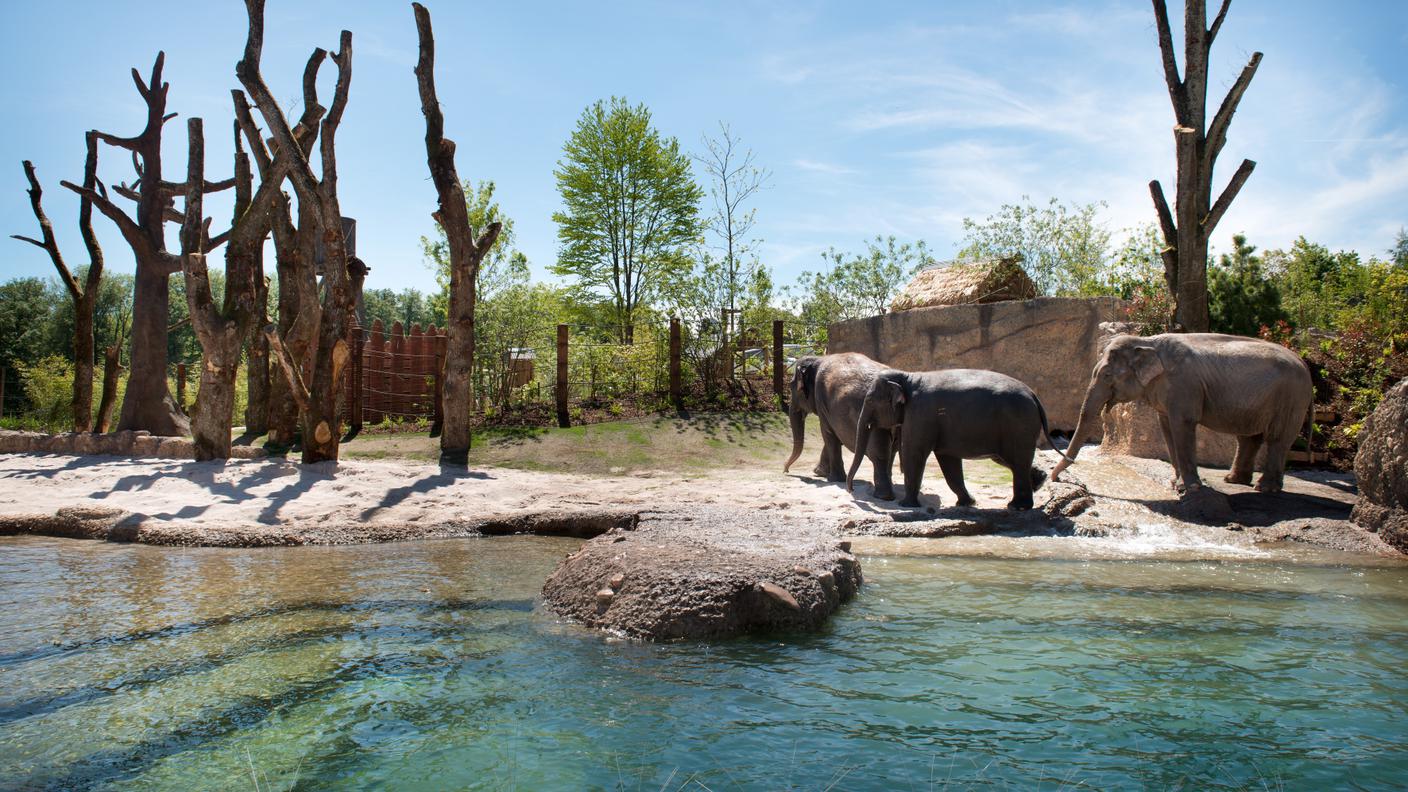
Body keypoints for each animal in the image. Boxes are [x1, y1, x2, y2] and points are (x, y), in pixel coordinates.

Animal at [782, 352, 901, 498]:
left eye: (792, 386)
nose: (785, 470)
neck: (818, 359)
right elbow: (832, 436)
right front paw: (819, 472)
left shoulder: (821, 401)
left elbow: (828, 434)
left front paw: (833, 478)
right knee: (892, 451)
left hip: (874, 418)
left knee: (879, 455)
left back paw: (882, 496)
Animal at [839, 366, 1058, 507]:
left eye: (869, 400)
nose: (850, 490)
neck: (908, 376)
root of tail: (1034, 396)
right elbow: (948, 460)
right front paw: (967, 503)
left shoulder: (920, 413)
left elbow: (914, 453)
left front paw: (906, 505)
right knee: (1012, 461)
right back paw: (1035, 486)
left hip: (1018, 424)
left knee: (1016, 460)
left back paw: (1018, 506)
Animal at [1053, 329, 1312, 490]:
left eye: (1107, 375)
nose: (1055, 479)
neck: (1147, 340)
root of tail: (1304, 363)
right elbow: (1167, 427)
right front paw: (1175, 484)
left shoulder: (1183, 385)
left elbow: (1182, 424)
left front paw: (1191, 488)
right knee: (1249, 438)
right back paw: (1233, 481)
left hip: (1291, 398)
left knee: (1277, 438)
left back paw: (1264, 488)